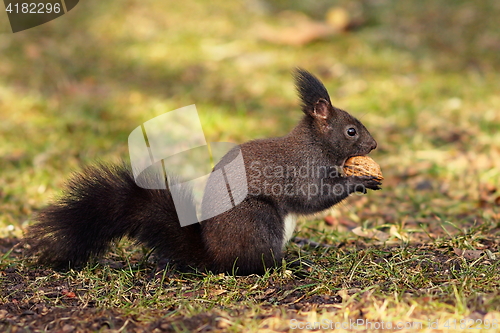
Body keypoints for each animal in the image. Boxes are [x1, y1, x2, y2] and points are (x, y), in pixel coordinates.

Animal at [26, 68, 378, 274]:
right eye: (351, 131)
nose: (374, 145)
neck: (316, 144)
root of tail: (211, 256)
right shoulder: (303, 169)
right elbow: (312, 198)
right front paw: (360, 180)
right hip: (257, 221)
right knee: (250, 264)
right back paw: (285, 265)